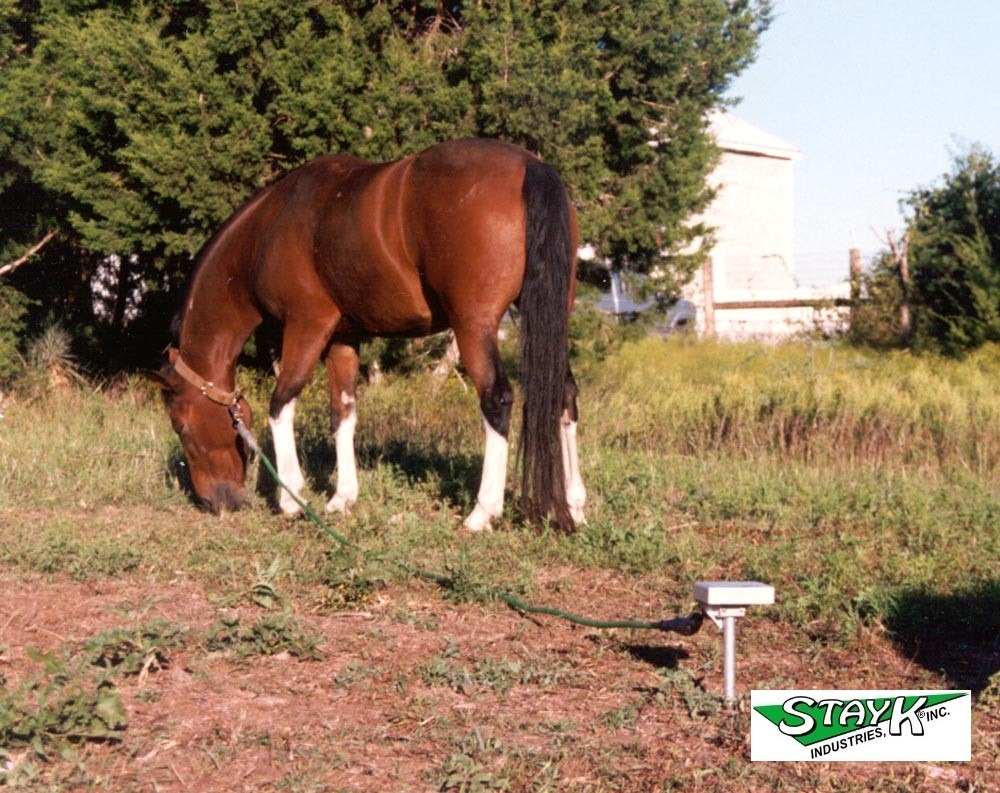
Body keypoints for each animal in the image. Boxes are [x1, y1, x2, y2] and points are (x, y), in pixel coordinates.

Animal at [146, 138, 586, 532]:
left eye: (180, 425)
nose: (216, 503)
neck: (269, 227)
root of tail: (530, 165)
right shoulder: (342, 339)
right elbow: (343, 412)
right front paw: (341, 498)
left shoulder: (307, 326)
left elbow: (281, 403)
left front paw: (290, 498)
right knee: (564, 395)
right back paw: (574, 507)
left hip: (473, 325)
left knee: (497, 399)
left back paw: (482, 513)